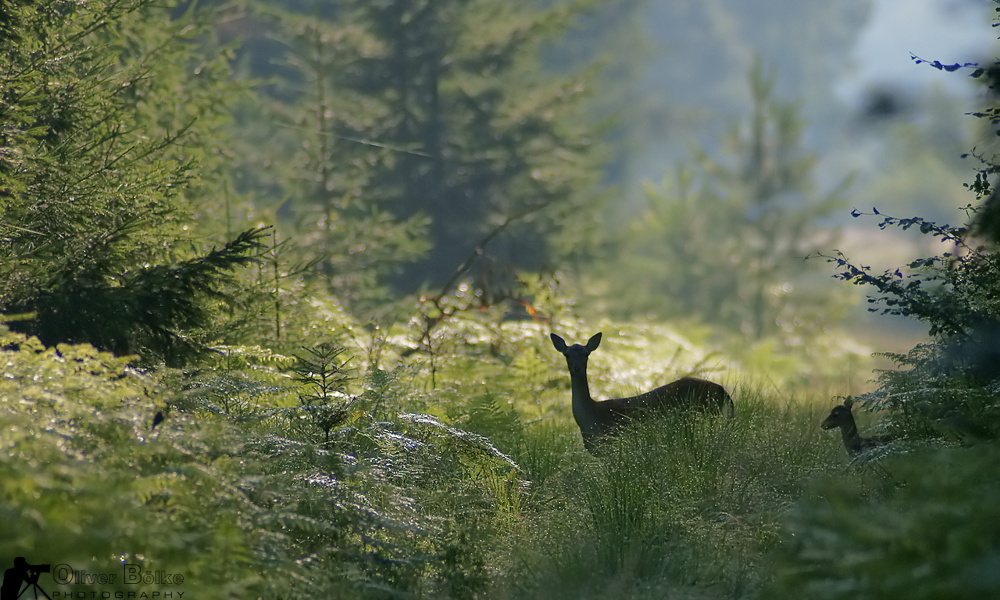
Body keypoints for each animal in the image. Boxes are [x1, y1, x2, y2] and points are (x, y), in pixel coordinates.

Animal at [548, 330, 736, 452]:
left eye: (586, 354)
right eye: (567, 354)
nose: (577, 368)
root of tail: (723, 391)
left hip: (705, 412)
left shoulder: (611, 441)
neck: (591, 419)